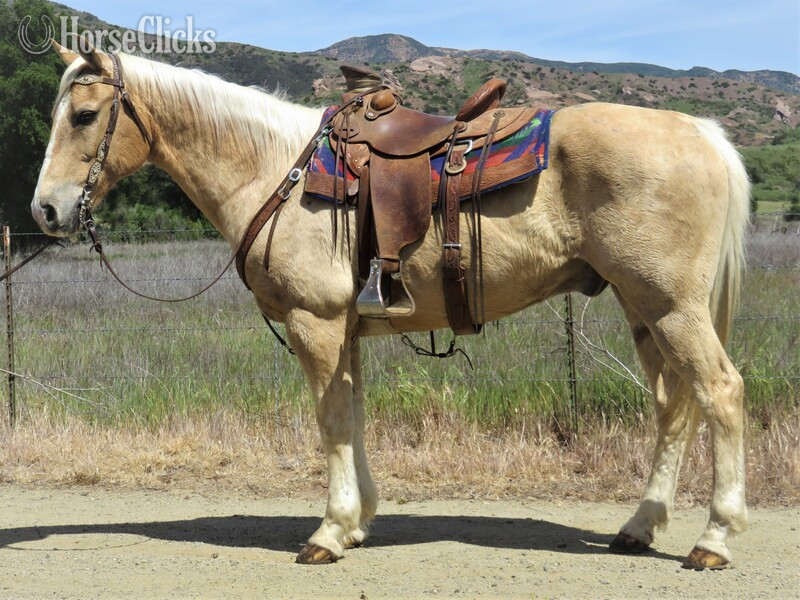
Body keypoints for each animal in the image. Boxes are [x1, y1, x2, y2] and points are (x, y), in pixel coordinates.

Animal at [32, 41, 750, 569]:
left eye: (84, 116)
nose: (45, 211)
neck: (273, 169)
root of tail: (704, 133)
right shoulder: (346, 330)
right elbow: (353, 415)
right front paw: (357, 521)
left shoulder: (316, 324)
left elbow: (330, 422)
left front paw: (328, 532)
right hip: (642, 307)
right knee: (673, 405)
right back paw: (640, 526)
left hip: (671, 306)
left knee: (720, 392)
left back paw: (713, 539)